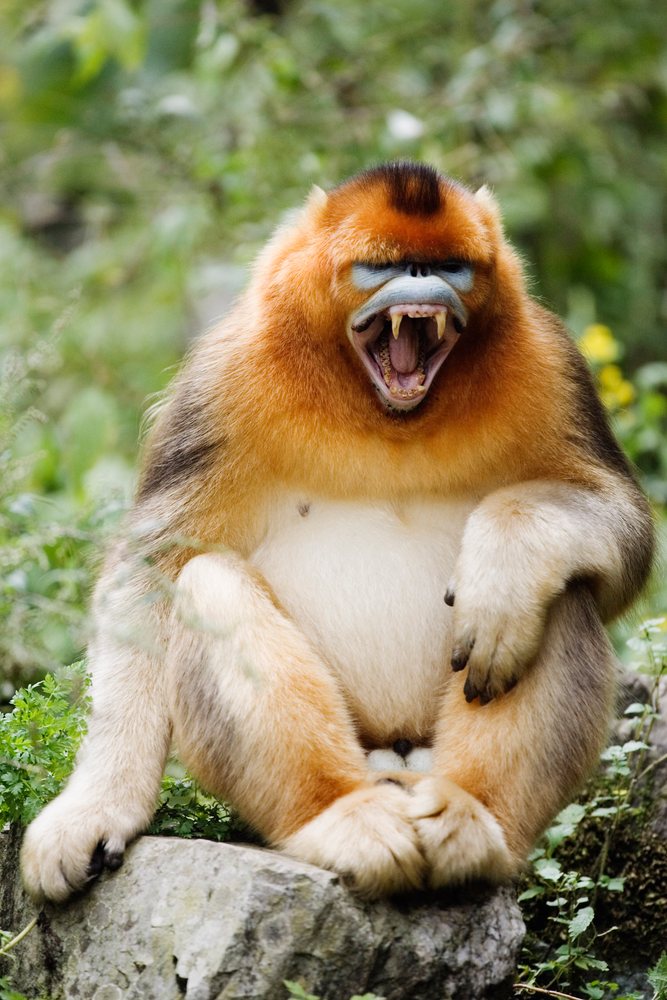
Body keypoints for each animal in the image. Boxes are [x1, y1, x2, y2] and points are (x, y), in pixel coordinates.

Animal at [21, 162, 654, 902]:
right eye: (382, 265)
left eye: (451, 265)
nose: (422, 280)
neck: (386, 415)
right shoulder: (223, 378)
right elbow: (153, 568)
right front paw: (95, 807)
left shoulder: (550, 364)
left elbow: (623, 533)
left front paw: (504, 573)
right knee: (208, 580)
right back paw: (339, 817)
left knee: (563, 591)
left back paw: (472, 819)